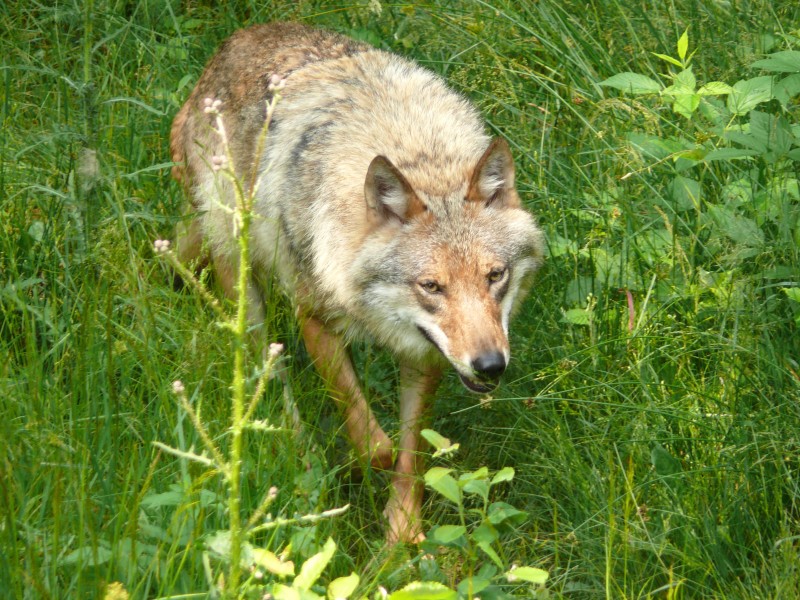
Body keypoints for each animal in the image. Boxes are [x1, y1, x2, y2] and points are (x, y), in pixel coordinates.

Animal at [169, 22, 544, 544]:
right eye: (432, 286)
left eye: (495, 276)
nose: (490, 366)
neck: (415, 152)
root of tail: (229, 47)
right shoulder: (315, 320)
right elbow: (374, 442)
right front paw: (358, 471)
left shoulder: (423, 352)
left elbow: (412, 452)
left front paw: (402, 534)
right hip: (247, 296)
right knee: (273, 381)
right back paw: (303, 457)